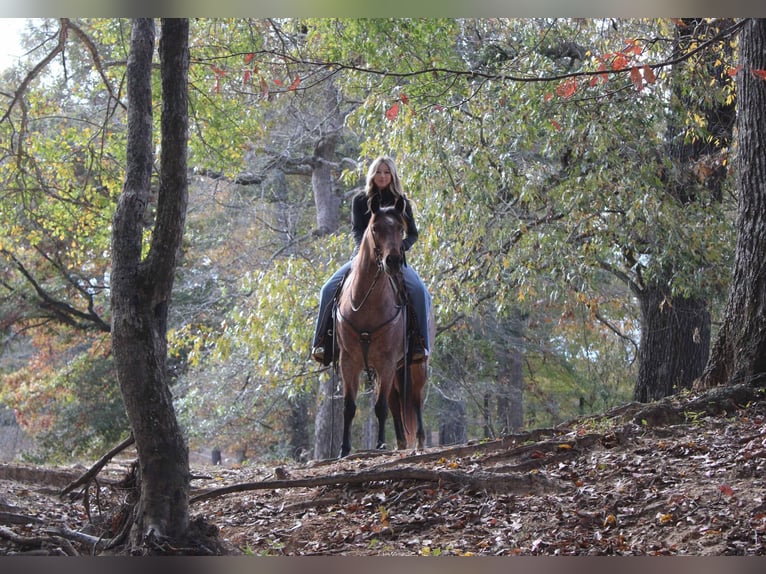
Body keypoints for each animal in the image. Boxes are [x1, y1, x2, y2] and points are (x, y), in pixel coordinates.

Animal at [334, 205, 431, 458]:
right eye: (375, 228)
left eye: (400, 228)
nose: (394, 261)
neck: (366, 306)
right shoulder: (349, 362)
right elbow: (349, 406)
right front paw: (344, 449)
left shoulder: (386, 362)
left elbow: (380, 407)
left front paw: (380, 446)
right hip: (393, 371)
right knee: (396, 401)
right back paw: (401, 442)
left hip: (414, 365)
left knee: (415, 399)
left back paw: (419, 441)